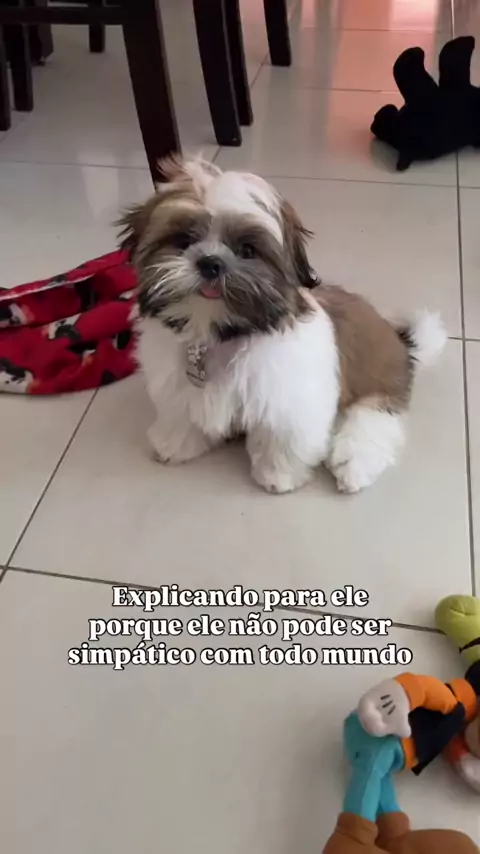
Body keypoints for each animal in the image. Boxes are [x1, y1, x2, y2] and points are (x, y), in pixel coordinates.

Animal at [118, 156, 446, 494]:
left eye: (247, 250)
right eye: (184, 241)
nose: (210, 262)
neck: (220, 334)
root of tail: (400, 341)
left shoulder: (289, 400)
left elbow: (283, 439)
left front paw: (278, 475)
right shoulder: (178, 387)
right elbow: (182, 414)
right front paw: (174, 443)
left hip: (378, 388)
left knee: (372, 423)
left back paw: (352, 466)